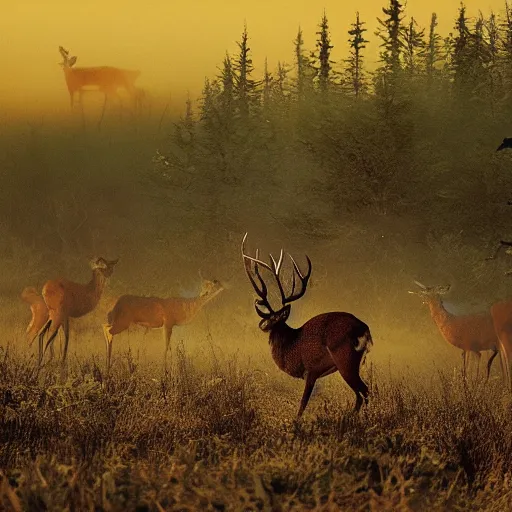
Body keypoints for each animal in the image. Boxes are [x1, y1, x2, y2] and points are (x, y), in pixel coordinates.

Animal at [242, 234, 374, 418]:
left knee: (364, 391)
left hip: (345, 360)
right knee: (362, 394)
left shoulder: (311, 370)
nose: (261, 325)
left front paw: (295, 421)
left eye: (273, 317)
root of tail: (364, 329)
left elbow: (302, 404)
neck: (291, 345)